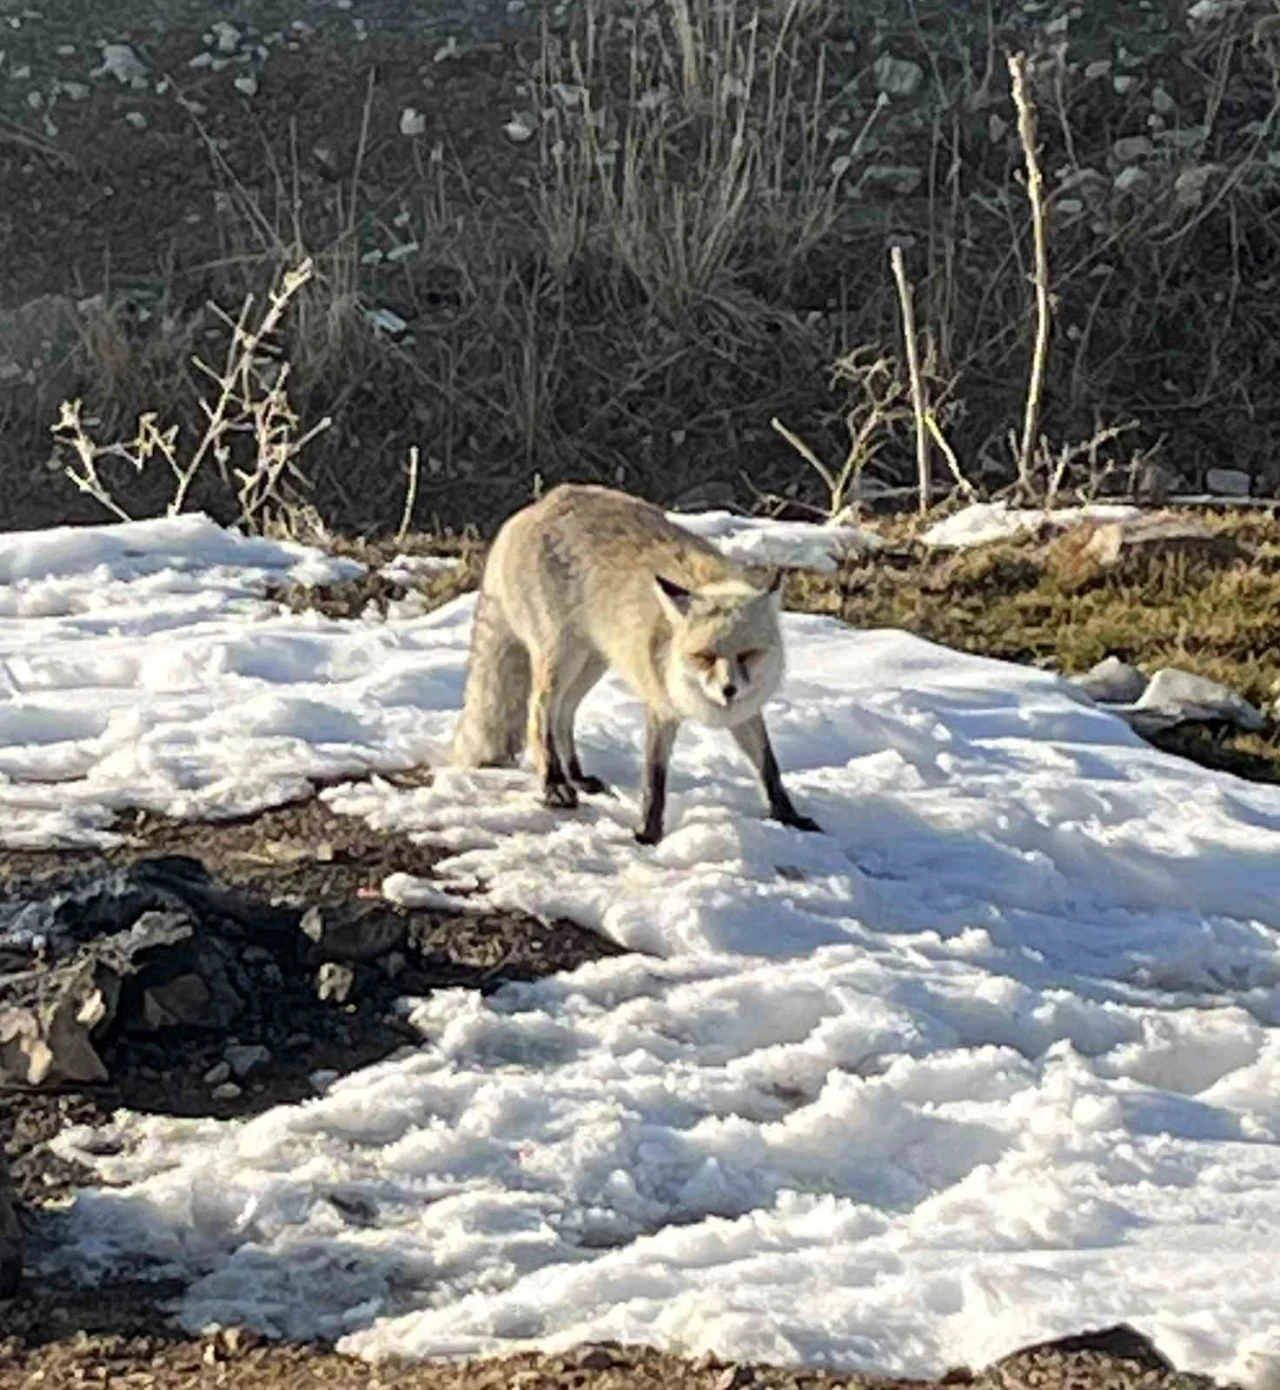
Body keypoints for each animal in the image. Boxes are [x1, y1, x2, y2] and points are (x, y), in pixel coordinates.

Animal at [450, 483, 817, 839]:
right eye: (704, 656)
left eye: (748, 655)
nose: (729, 690)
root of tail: (534, 508)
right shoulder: (661, 706)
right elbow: (654, 780)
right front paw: (648, 833)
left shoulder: (746, 711)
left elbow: (769, 768)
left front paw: (789, 817)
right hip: (561, 658)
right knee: (539, 714)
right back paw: (554, 782)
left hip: (591, 662)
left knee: (563, 714)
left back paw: (577, 777)